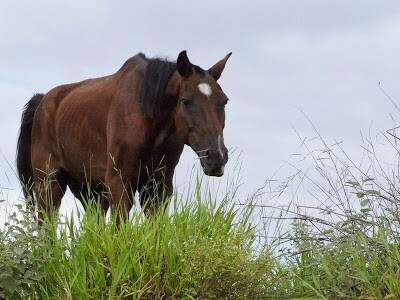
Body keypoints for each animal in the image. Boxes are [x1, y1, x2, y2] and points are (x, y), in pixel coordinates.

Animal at [16, 49, 231, 223]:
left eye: (224, 101)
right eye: (186, 101)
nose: (217, 157)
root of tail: (42, 100)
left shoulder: (158, 186)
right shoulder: (119, 182)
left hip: (90, 192)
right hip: (48, 183)